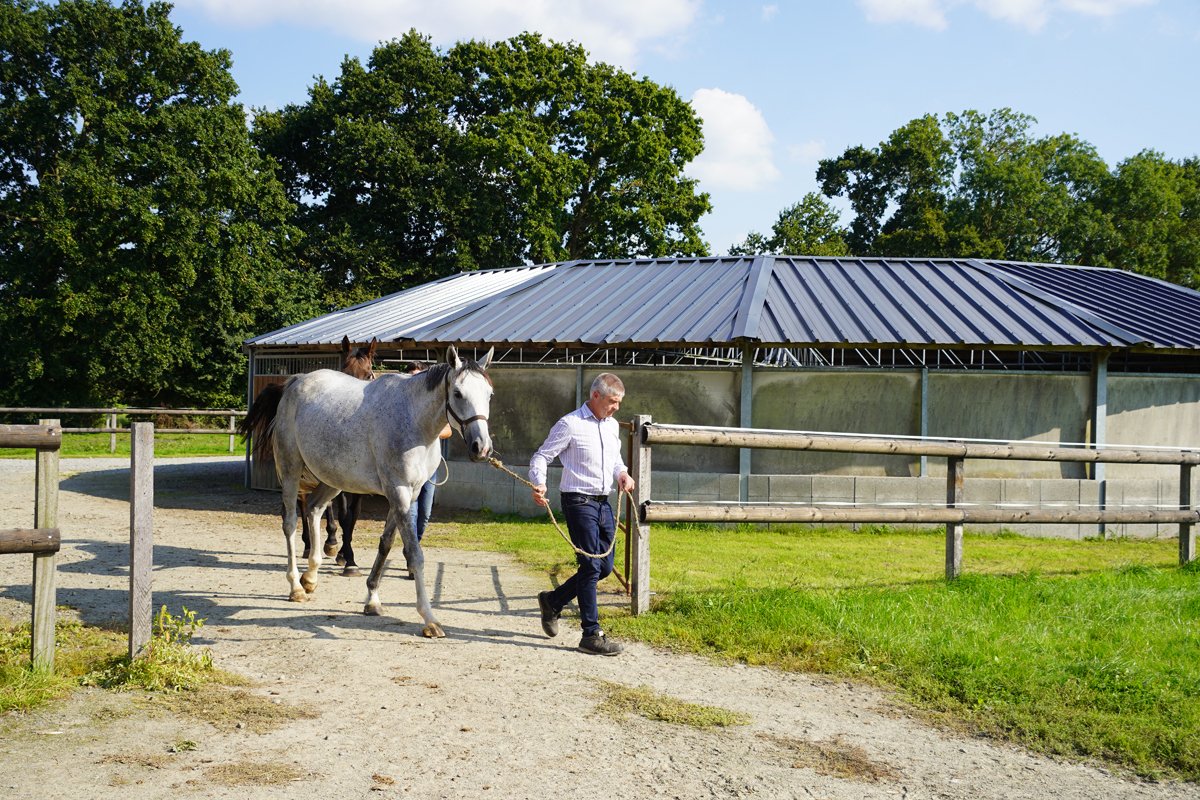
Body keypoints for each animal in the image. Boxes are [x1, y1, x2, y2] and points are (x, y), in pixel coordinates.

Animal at [300, 336, 377, 575]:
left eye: (368, 375)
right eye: (344, 371)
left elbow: (353, 516)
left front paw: (347, 556)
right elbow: (342, 515)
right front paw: (347, 556)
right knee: (304, 503)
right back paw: (313, 544)